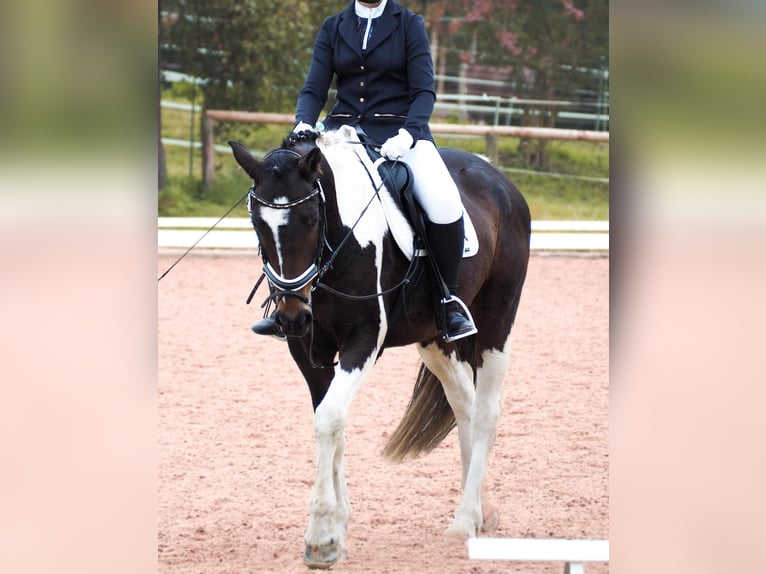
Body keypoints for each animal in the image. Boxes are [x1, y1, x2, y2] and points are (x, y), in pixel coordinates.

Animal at [229, 125, 530, 569]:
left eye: (310, 218)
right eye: (257, 223)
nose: (292, 316)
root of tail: (499, 177)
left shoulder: (364, 341)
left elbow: (329, 419)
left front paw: (321, 538)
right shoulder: (309, 353)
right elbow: (331, 422)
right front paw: (337, 528)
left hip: (496, 324)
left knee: (487, 413)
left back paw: (463, 521)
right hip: (434, 339)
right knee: (465, 405)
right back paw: (481, 509)